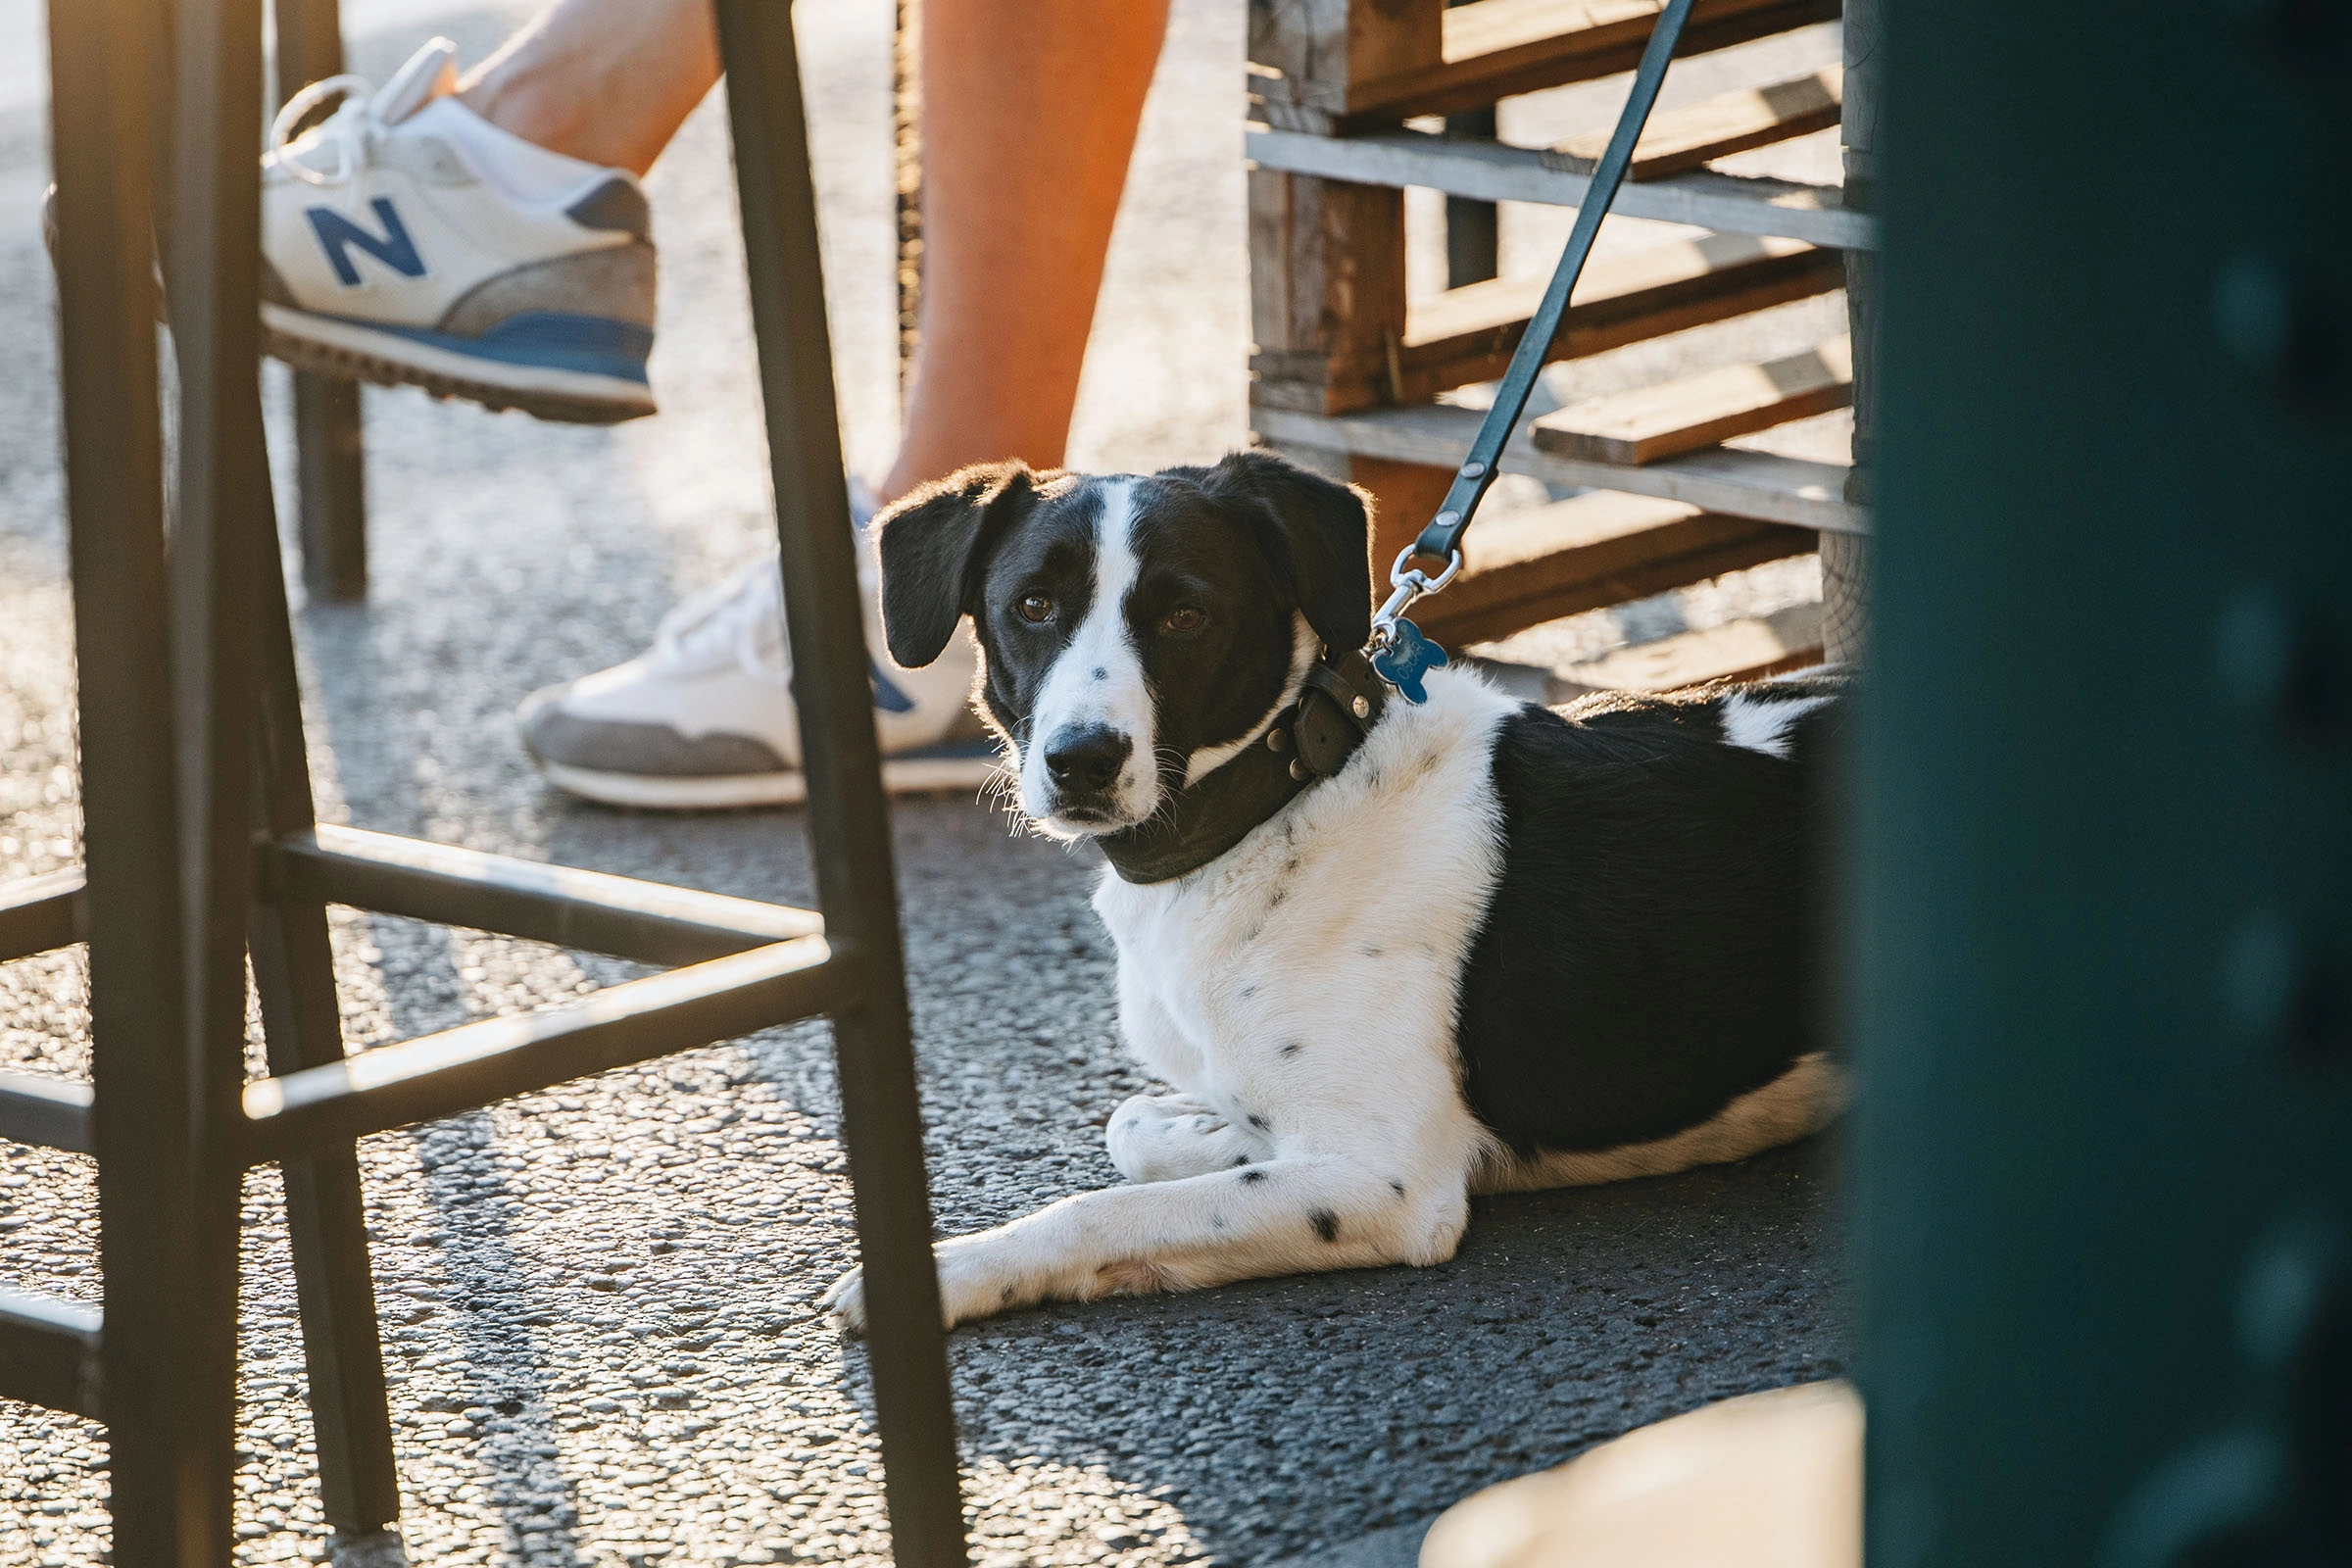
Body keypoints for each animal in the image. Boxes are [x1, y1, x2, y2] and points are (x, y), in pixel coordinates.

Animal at [818, 446, 1843, 1335]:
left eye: (1185, 616)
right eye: (1032, 605)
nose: (1081, 760)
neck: (1278, 804)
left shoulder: (1386, 1184)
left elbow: (1099, 1211)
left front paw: (945, 1275)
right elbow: (1137, 1123)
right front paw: (1213, 1131)